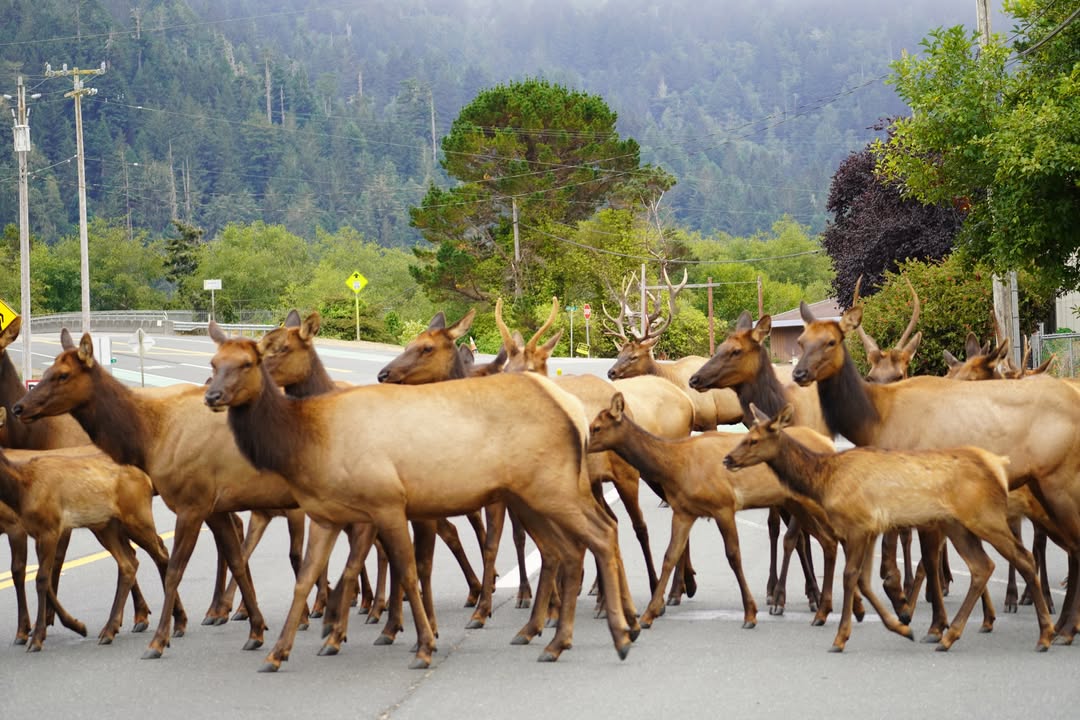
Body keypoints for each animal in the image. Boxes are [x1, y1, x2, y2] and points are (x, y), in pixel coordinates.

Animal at [11, 330, 309, 660]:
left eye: (63, 374)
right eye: (46, 372)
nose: (19, 407)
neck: (149, 437)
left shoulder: (191, 504)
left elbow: (173, 570)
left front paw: (159, 639)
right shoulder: (214, 507)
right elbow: (238, 561)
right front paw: (256, 629)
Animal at [204, 320, 640, 670]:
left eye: (251, 362)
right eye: (213, 363)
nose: (211, 395)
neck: (307, 442)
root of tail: (572, 409)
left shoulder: (386, 503)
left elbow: (409, 572)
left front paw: (422, 644)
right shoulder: (326, 515)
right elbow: (305, 579)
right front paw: (277, 652)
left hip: (553, 486)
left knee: (602, 533)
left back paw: (620, 632)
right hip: (529, 496)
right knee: (567, 550)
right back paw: (554, 640)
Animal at [588, 392, 849, 629]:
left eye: (597, 427)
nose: (583, 445)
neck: (674, 465)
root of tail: (829, 443)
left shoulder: (723, 506)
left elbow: (733, 556)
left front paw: (750, 613)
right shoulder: (684, 511)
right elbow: (670, 556)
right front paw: (649, 614)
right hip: (797, 504)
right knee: (827, 541)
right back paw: (824, 608)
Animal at [723, 403, 1055, 653]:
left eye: (753, 439)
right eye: (746, 434)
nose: (727, 458)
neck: (824, 479)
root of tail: (998, 467)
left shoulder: (858, 526)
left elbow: (850, 577)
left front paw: (841, 638)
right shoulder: (870, 529)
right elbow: (864, 581)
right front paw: (902, 626)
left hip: (985, 517)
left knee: (1023, 558)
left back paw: (1045, 633)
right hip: (958, 525)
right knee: (982, 566)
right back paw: (951, 635)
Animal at [788, 295, 1080, 645]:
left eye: (831, 341)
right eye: (802, 341)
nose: (799, 373)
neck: (876, 421)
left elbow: (922, 559)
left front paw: (925, 619)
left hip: (1060, 483)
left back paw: (1061, 626)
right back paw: (1062, 625)